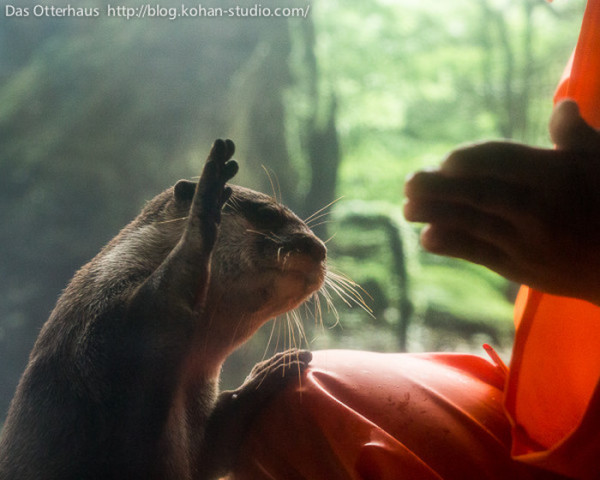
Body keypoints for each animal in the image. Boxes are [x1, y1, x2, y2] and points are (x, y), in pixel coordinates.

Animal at [0, 140, 326, 480]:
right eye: (267, 213)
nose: (320, 249)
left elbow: (215, 447)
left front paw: (273, 370)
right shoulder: (104, 321)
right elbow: (158, 300)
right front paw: (206, 203)